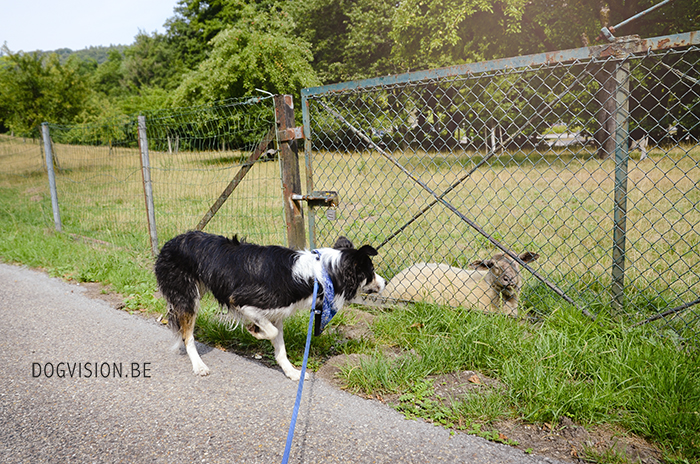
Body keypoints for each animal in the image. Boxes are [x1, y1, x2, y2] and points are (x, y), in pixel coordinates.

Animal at [156, 232, 386, 380]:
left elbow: (280, 345)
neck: (318, 274)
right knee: (187, 335)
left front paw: (291, 372)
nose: (384, 283)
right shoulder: (241, 300)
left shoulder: (277, 313)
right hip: (188, 297)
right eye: (372, 271)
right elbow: (272, 332)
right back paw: (199, 365)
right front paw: (254, 331)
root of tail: (171, 242)